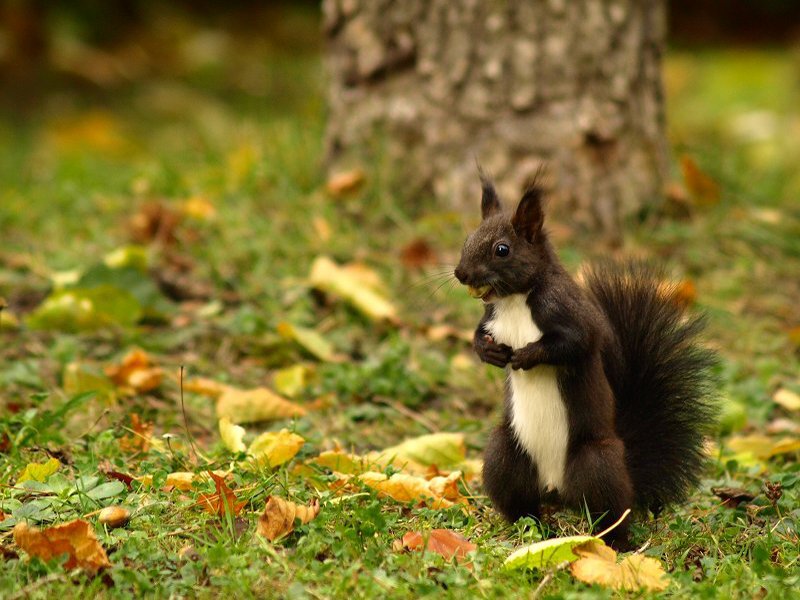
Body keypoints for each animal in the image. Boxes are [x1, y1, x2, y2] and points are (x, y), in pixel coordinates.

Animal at [454, 173, 720, 548]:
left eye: (501, 249)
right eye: (468, 239)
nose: (461, 273)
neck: (515, 300)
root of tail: (557, 490)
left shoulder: (571, 313)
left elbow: (576, 343)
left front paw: (527, 355)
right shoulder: (491, 317)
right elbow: (477, 335)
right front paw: (490, 352)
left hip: (596, 463)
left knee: (612, 511)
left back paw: (616, 543)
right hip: (504, 453)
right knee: (521, 503)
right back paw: (532, 527)